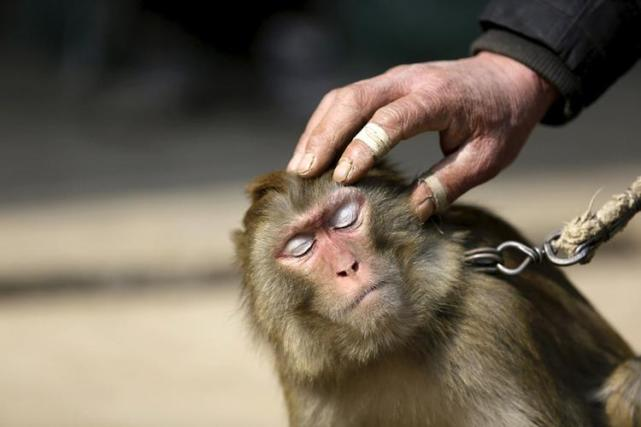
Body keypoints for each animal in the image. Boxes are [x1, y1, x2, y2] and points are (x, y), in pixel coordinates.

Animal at [233, 164, 641, 427]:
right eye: (301, 247)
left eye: (345, 219)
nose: (348, 266)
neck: (390, 348)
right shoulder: (307, 383)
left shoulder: (490, 324)